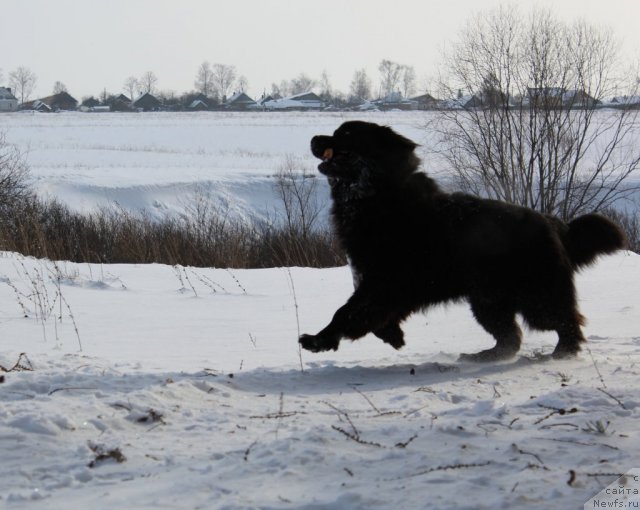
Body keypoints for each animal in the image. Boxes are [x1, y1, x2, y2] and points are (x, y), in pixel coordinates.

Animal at [298, 121, 624, 360]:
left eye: (345, 134)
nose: (313, 137)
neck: (376, 196)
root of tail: (554, 223)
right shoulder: (381, 282)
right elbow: (365, 311)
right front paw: (393, 335)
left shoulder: (386, 280)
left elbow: (347, 311)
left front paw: (317, 340)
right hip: (488, 300)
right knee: (511, 335)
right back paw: (486, 356)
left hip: (536, 295)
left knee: (566, 320)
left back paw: (563, 352)